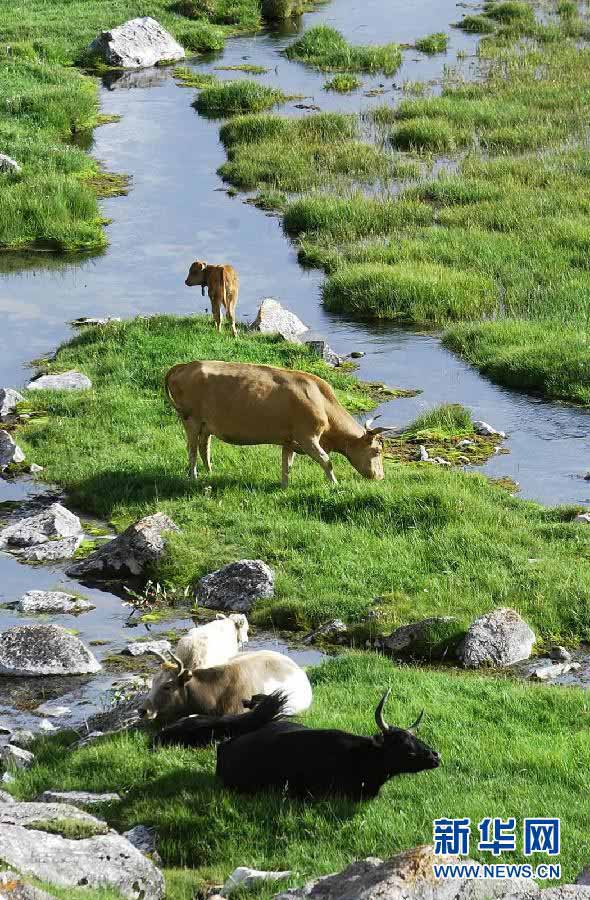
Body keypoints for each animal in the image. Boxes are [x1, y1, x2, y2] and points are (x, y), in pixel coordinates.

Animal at [164, 358, 400, 486]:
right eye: (377, 451)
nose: (380, 477)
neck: (321, 401)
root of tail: (186, 365)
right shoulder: (307, 437)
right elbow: (326, 461)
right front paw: (334, 484)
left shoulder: (290, 440)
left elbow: (287, 464)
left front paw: (284, 485)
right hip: (191, 420)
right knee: (192, 449)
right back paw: (194, 476)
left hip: (206, 425)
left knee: (204, 445)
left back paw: (210, 472)